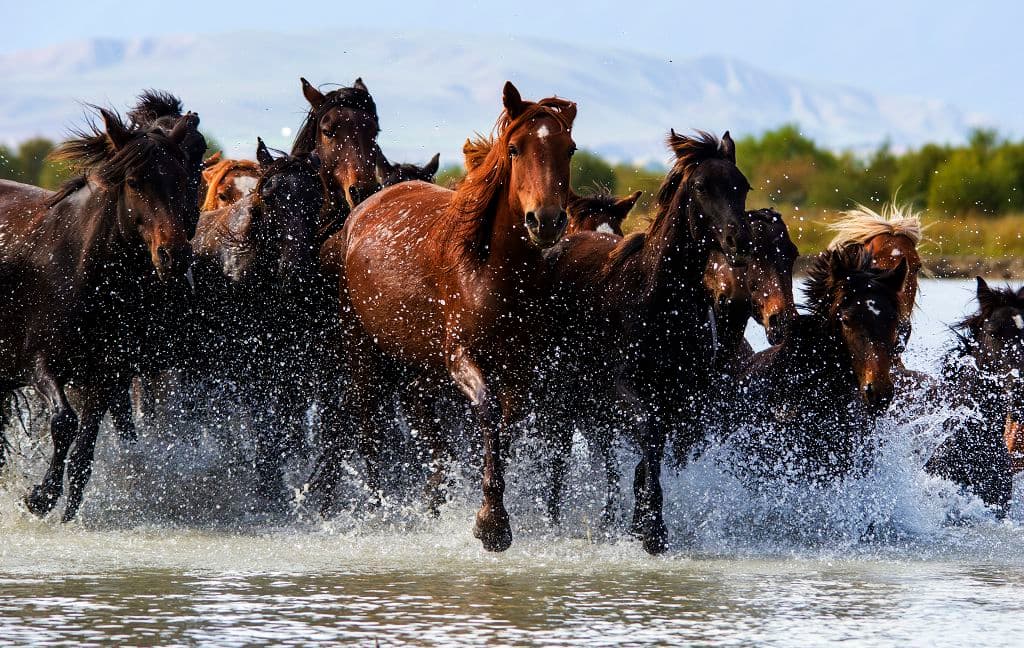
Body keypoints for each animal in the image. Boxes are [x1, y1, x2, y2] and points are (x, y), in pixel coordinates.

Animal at [0, 107, 200, 521]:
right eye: (136, 182)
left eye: (179, 177)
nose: (175, 256)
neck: (78, 265)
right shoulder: (40, 363)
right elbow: (64, 423)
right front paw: (39, 497)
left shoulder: (105, 376)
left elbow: (83, 455)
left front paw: (66, 513)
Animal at [187, 138, 324, 498]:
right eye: (270, 196)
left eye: (316, 197)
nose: (296, 269)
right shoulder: (250, 365)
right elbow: (261, 422)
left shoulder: (289, 365)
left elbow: (282, 425)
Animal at [316, 82, 577, 552]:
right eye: (515, 148)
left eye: (569, 149)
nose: (546, 221)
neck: (490, 271)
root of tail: (357, 214)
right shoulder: (460, 358)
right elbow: (487, 413)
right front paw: (492, 523)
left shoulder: (520, 367)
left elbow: (505, 428)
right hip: (363, 352)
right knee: (367, 428)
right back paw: (378, 511)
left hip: (418, 367)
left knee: (424, 426)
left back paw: (432, 500)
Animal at [538, 130, 753, 553]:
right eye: (701, 186)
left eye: (743, 185)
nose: (738, 240)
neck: (658, 300)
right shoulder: (625, 390)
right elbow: (648, 436)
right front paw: (652, 530)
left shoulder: (686, 400)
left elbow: (655, 455)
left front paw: (641, 522)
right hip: (564, 395)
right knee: (560, 457)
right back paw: (554, 520)